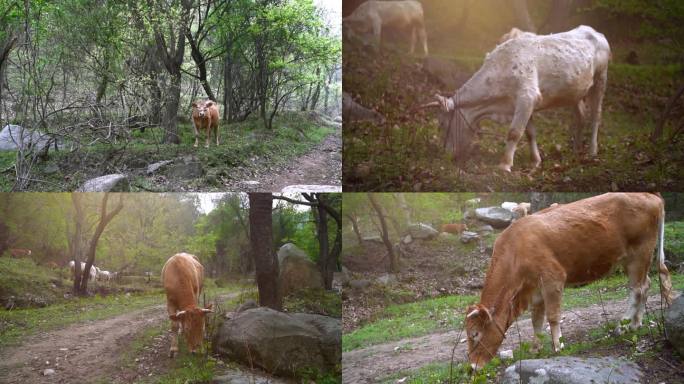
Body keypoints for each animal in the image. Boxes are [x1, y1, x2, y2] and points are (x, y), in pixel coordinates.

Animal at [420, 24, 612, 172]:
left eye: (442, 123)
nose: (446, 153)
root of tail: (595, 32)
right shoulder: (526, 104)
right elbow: (530, 133)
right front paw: (535, 161)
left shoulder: (527, 97)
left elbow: (514, 133)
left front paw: (505, 165)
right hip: (575, 92)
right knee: (580, 115)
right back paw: (575, 149)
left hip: (600, 80)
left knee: (596, 116)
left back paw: (592, 151)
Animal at [464, 194, 672, 370]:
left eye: (475, 334)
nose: (472, 367)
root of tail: (651, 196)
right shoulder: (534, 289)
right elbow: (536, 321)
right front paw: (536, 348)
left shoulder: (553, 278)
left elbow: (553, 316)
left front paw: (558, 346)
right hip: (634, 259)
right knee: (646, 285)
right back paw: (636, 323)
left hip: (640, 253)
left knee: (637, 289)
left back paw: (622, 326)